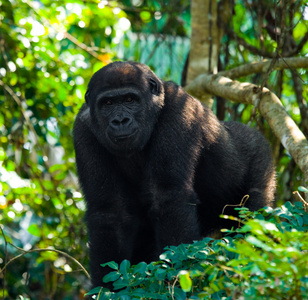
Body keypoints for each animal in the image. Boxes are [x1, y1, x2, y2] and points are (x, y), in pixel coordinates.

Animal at [73, 60, 276, 286]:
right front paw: (106, 288)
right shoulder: (83, 127)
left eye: (129, 99)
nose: (120, 121)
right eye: (107, 104)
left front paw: (175, 275)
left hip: (260, 157)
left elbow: (169, 195)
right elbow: (109, 211)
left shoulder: (179, 108)